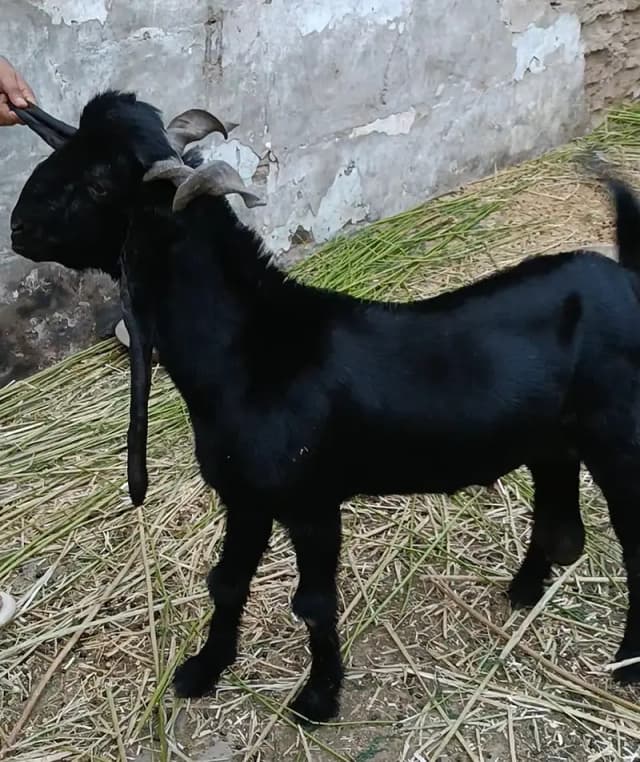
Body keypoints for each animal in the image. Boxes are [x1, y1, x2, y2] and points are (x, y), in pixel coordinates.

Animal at [10, 91, 640, 723]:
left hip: (619, 439)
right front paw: (203, 670)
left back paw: (626, 662)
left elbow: (313, 601)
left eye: (98, 183)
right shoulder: (245, 497)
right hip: (552, 441)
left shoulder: (310, 502)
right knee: (559, 520)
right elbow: (227, 581)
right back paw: (524, 591)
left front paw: (318, 696)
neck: (254, 351)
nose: (16, 227)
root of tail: (623, 279)